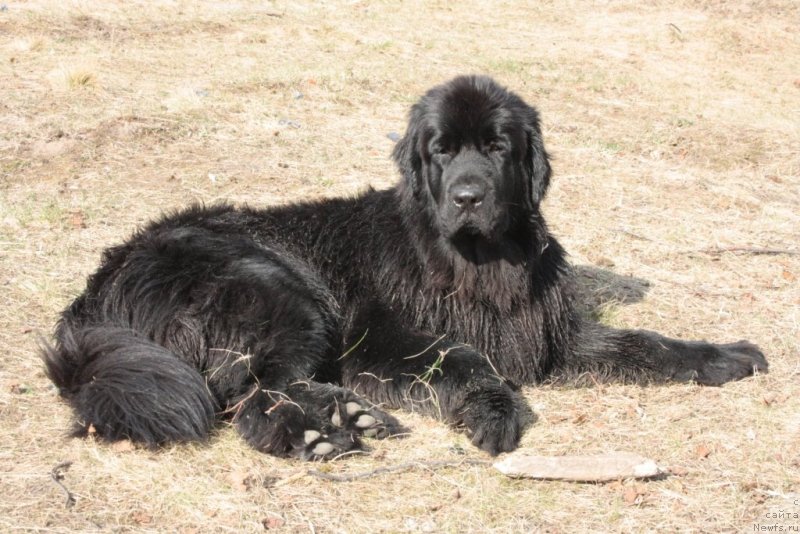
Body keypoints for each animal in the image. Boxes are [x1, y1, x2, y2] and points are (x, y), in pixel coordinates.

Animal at [43, 75, 768, 460]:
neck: (475, 265)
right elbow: (465, 358)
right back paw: (321, 434)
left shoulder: (547, 335)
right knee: (255, 394)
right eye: (441, 150)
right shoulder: (381, 339)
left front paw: (724, 355)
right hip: (282, 291)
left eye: (498, 147)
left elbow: (642, 343)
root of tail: (100, 284)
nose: (468, 196)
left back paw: (346, 422)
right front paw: (492, 410)